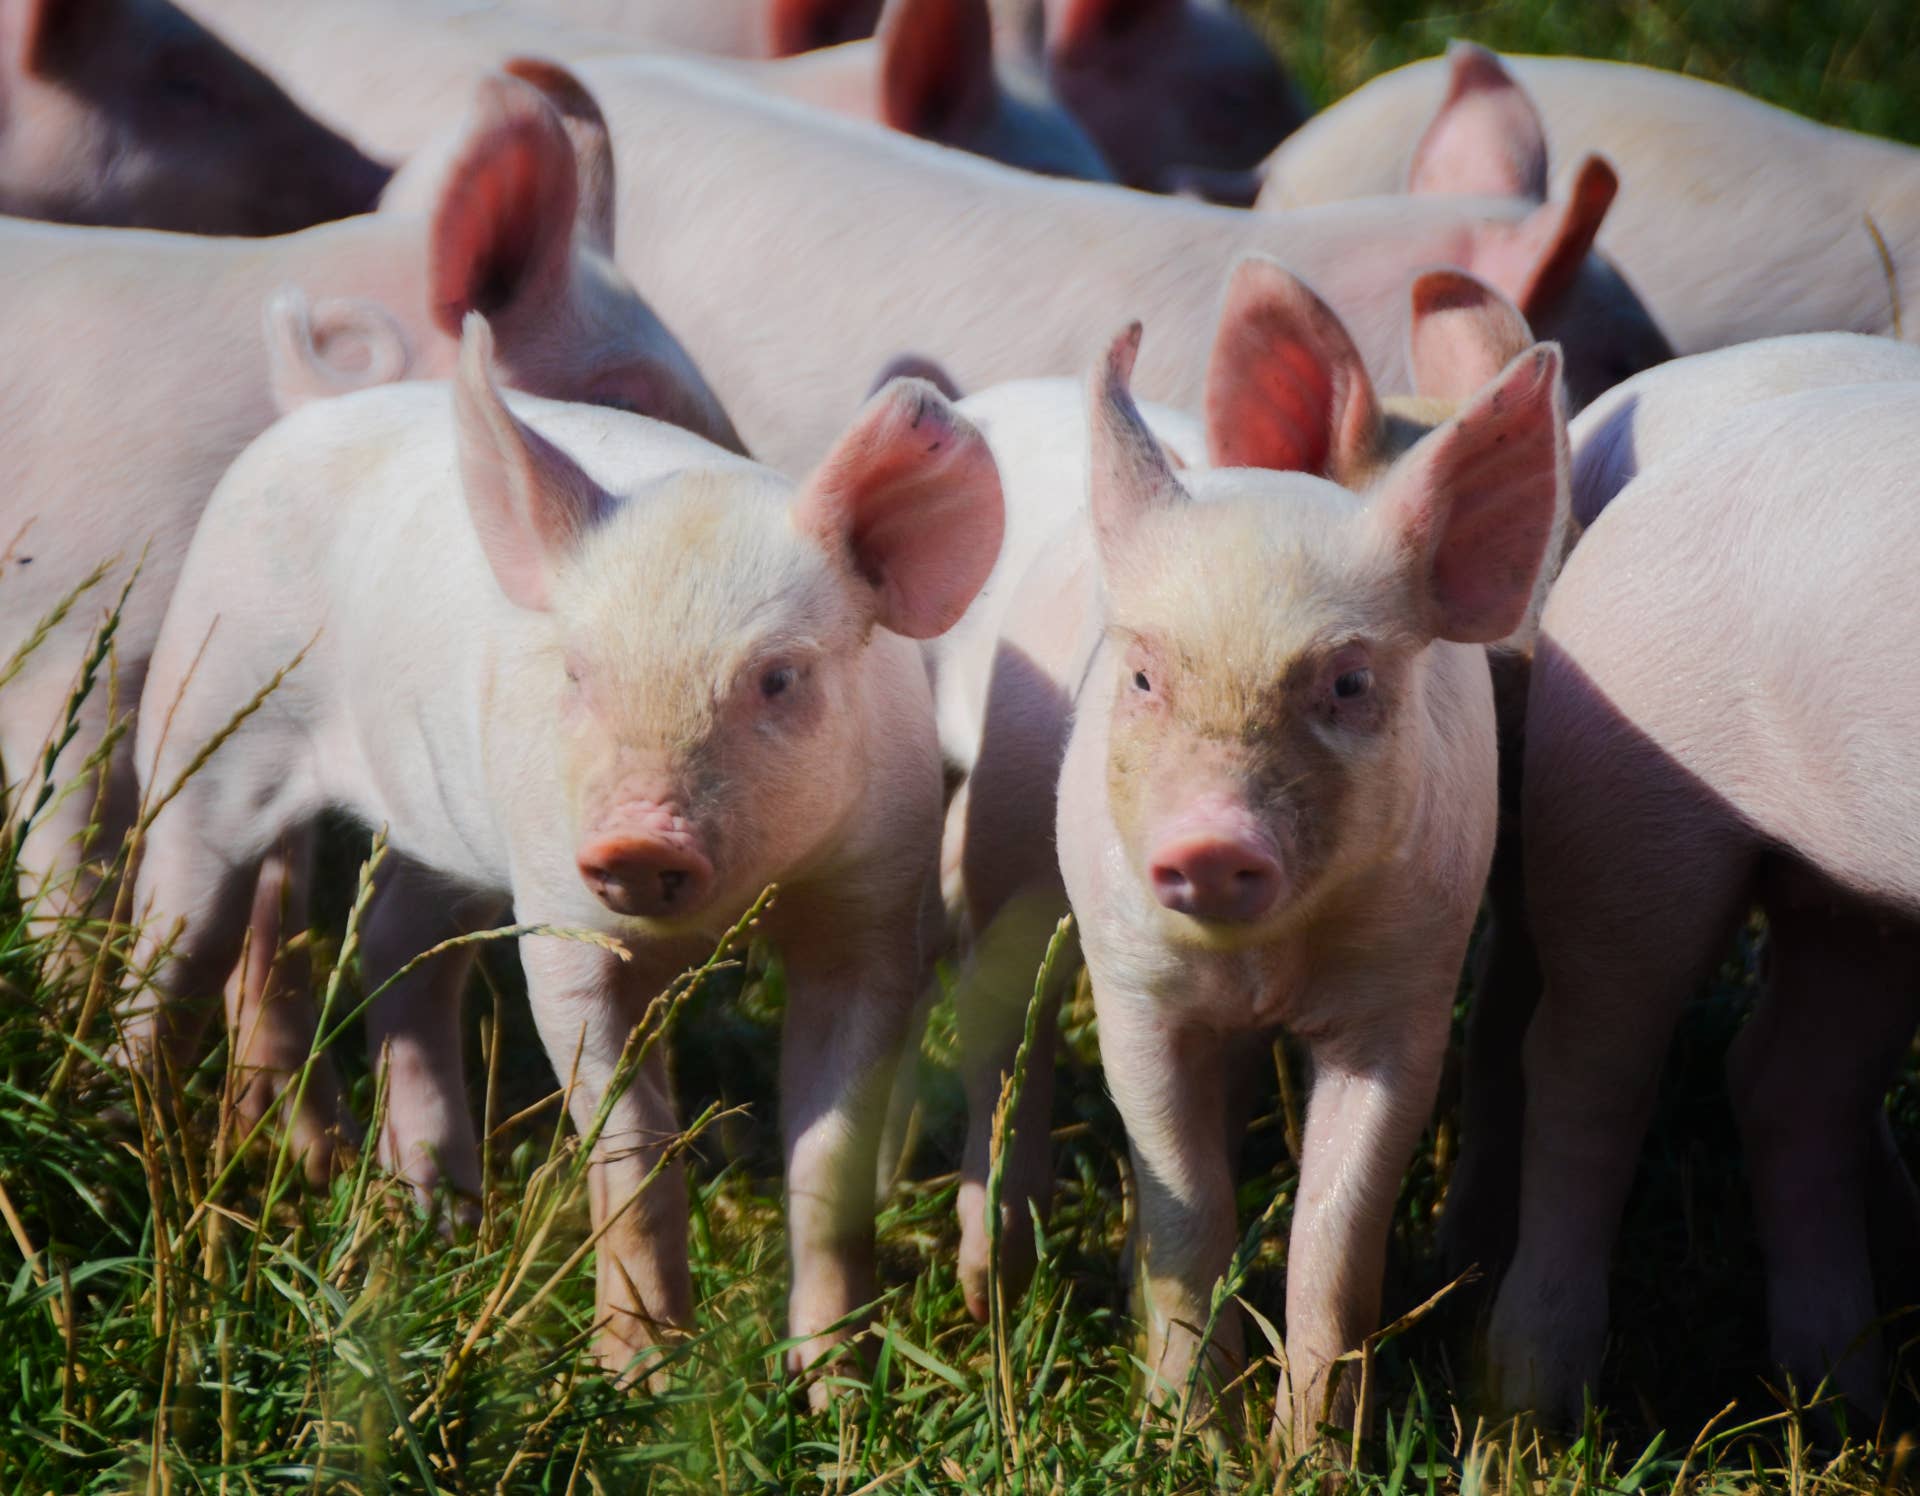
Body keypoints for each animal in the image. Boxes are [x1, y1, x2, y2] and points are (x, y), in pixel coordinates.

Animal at [0, 64, 737, 1171]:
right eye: (622, 395)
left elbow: (279, 920)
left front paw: (316, 1152)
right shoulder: (79, 633)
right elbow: (72, 855)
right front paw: (76, 1056)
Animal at [122, 314, 1003, 1399]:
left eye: (778, 677)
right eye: (580, 672)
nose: (636, 836)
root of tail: (310, 404)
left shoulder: (872, 909)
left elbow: (827, 1160)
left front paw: (838, 1390)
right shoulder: (561, 917)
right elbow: (631, 1153)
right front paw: (644, 1382)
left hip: (439, 825)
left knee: (389, 943)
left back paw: (425, 1206)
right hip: (205, 715)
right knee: (183, 935)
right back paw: (135, 1134)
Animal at [1488, 381, 1920, 1421]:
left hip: (1855, 892)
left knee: (1793, 1087)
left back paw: (1842, 1406)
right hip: (1628, 803)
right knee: (1586, 1071)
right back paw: (1536, 1409)